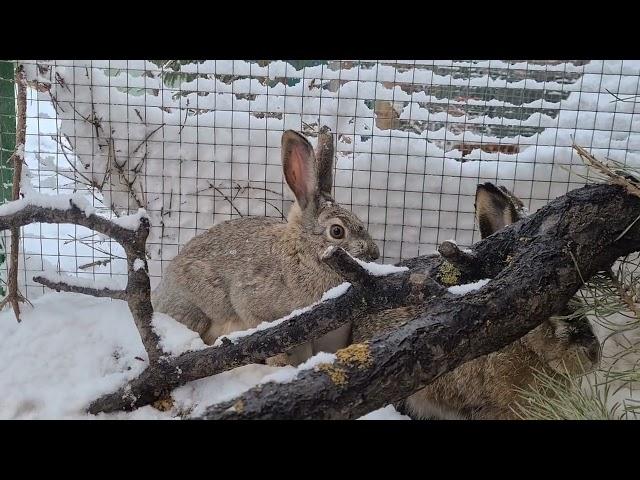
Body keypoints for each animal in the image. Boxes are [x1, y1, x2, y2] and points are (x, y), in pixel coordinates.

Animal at [151, 129, 380, 366]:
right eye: (337, 231)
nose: (375, 254)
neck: (300, 255)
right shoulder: (252, 304)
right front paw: (280, 366)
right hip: (196, 313)